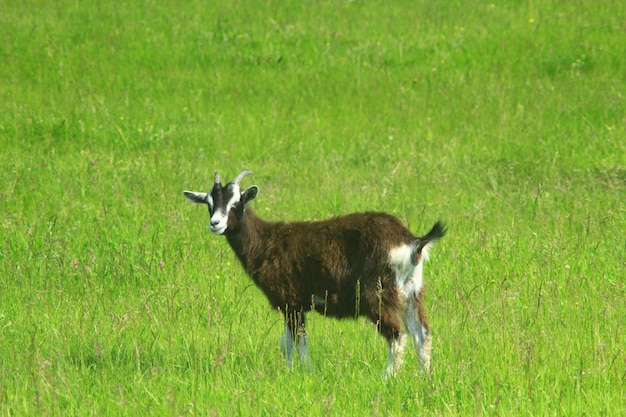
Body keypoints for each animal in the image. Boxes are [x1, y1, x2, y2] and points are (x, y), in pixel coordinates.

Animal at [180, 171, 444, 376]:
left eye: (237, 202)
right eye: (209, 203)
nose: (215, 224)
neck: (266, 242)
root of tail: (413, 242)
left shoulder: (291, 301)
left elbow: (299, 342)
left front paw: (305, 373)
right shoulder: (292, 306)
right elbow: (286, 344)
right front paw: (289, 373)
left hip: (378, 294)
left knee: (397, 336)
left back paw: (386, 378)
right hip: (411, 292)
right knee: (422, 334)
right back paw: (423, 378)